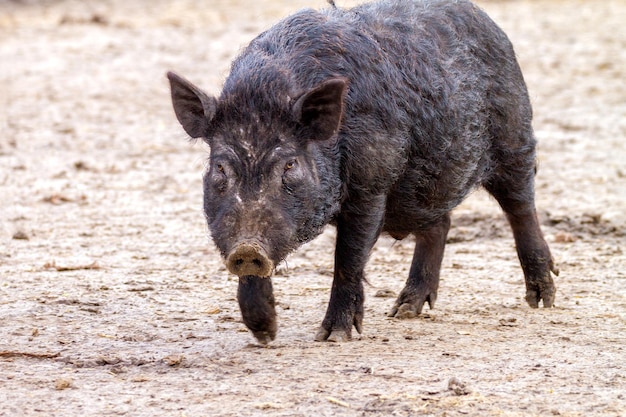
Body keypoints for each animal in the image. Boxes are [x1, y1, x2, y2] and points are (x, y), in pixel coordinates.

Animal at [166, 0, 556, 342]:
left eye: (289, 164)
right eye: (220, 167)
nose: (247, 248)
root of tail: (490, 25)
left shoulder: (371, 185)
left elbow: (348, 258)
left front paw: (333, 336)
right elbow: (253, 274)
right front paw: (264, 334)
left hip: (515, 138)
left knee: (521, 207)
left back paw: (542, 299)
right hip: (423, 188)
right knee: (439, 224)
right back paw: (403, 311)